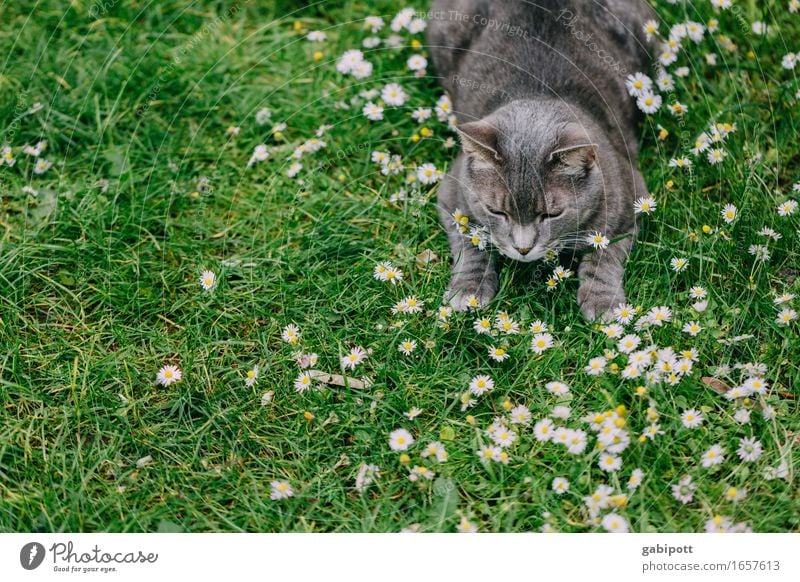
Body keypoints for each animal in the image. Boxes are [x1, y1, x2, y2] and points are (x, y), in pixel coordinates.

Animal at [428, 0, 652, 320]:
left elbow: (605, 255)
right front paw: (469, 290)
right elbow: (471, 244)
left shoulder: (631, 199)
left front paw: (602, 303)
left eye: (551, 214)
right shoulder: (450, 196)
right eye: (496, 211)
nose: (523, 249)